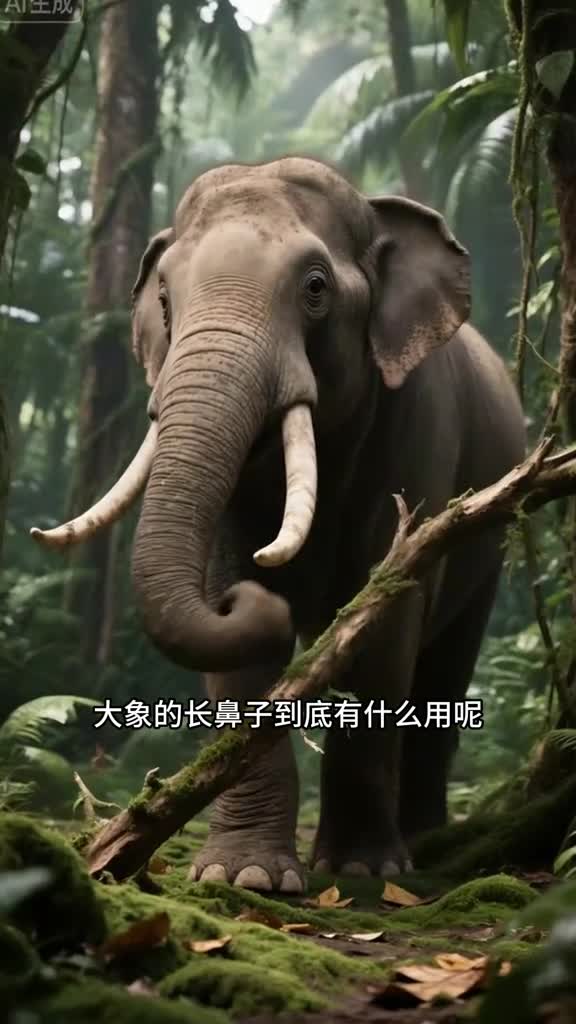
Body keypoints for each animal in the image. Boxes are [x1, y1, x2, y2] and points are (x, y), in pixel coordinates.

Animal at [34, 156, 526, 894]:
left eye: (316, 288)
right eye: (165, 302)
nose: (262, 591)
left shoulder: (420, 427)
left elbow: (387, 614)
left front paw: (361, 870)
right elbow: (237, 643)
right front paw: (243, 877)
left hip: (492, 534)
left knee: (446, 668)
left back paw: (425, 843)